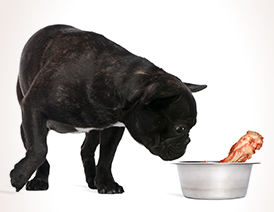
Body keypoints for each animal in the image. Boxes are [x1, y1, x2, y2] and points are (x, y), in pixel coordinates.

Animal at [11, 24, 206, 194]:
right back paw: (39, 180)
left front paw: (107, 183)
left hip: (92, 129)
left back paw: (93, 179)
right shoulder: (33, 108)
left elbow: (106, 158)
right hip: (26, 118)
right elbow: (39, 150)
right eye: (180, 128)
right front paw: (19, 177)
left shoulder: (114, 128)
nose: (188, 141)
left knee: (87, 149)